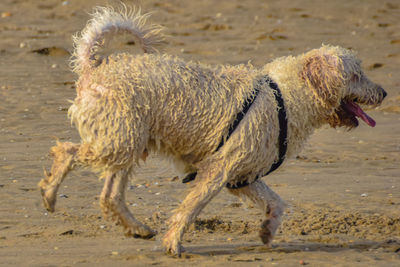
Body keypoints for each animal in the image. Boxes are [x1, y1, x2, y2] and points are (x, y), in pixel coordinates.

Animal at [39, 6, 386, 258]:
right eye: (356, 75)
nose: (383, 93)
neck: (285, 97)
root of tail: (95, 67)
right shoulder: (217, 170)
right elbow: (189, 210)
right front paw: (173, 244)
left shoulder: (242, 175)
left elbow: (275, 203)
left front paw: (267, 230)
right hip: (117, 141)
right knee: (65, 152)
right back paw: (50, 193)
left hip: (128, 142)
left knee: (109, 196)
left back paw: (137, 228)